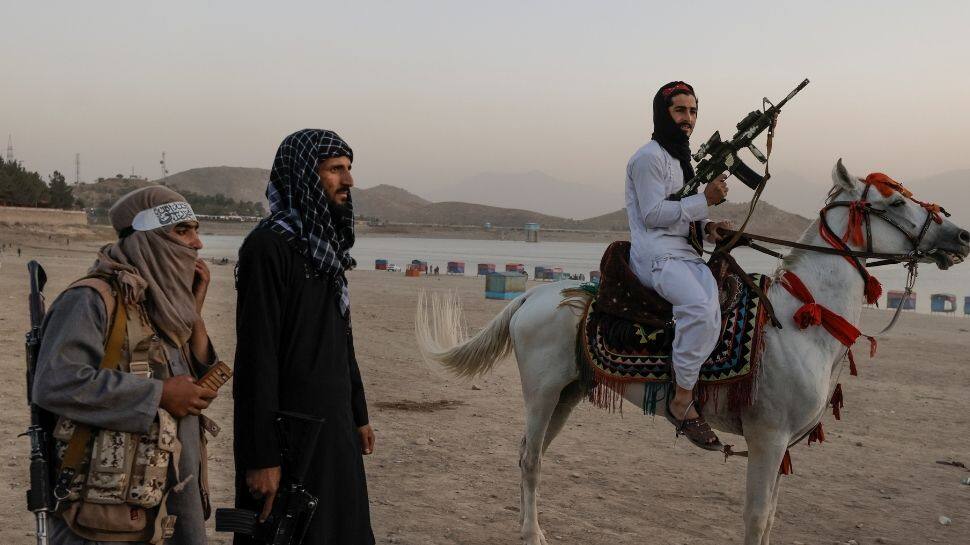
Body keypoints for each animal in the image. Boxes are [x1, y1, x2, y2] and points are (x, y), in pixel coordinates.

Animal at [410, 160, 968, 544]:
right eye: (893, 204)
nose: (960, 235)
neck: (803, 319)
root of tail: (533, 295)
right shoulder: (767, 438)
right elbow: (755, 518)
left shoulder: (783, 444)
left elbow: (771, 518)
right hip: (542, 392)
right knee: (529, 458)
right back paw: (531, 534)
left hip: (567, 394)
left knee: (534, 455)